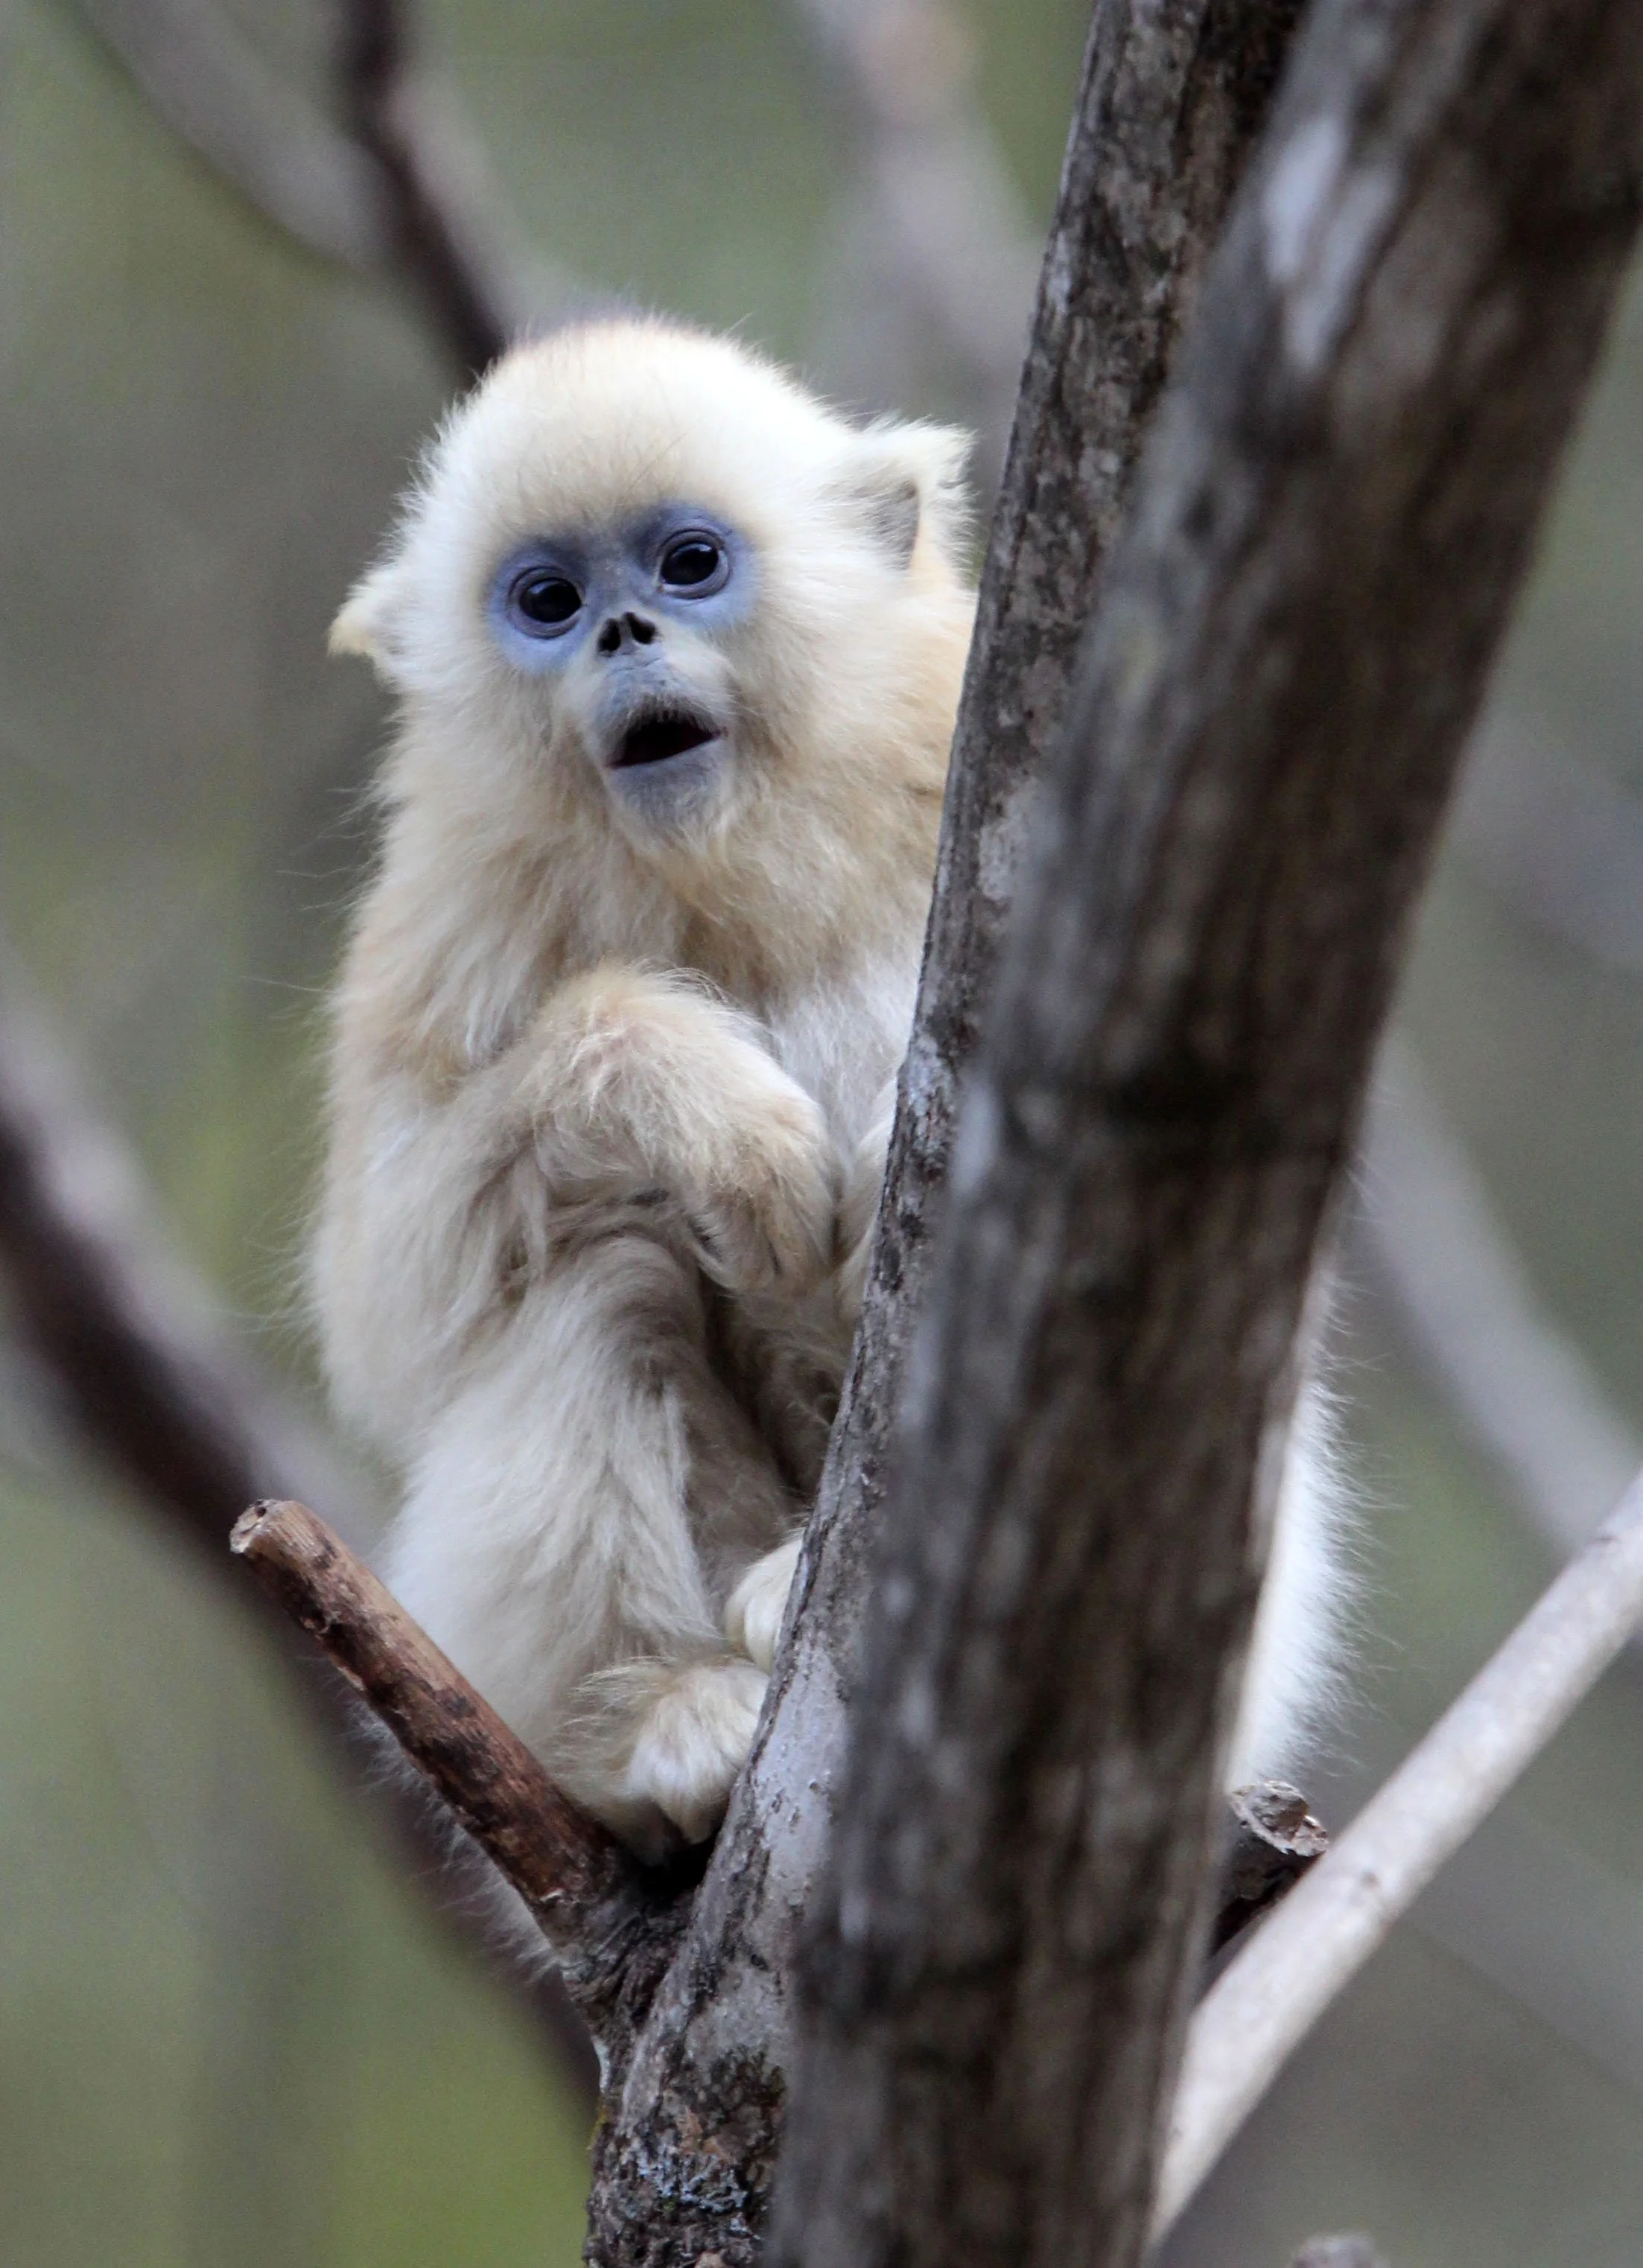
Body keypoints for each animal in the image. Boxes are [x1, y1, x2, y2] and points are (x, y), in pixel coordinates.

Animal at [314, 316, 1349, 1863]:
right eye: (549, 600)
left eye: (688, 563)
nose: (622, 634)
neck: (741, 849)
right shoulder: (452, 906)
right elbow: (387, 1308)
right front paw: (722, 1124)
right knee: (601, 1264)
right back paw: (665, 1721)